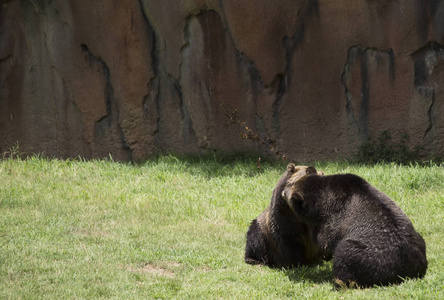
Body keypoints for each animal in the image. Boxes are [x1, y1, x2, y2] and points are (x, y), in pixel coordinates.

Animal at [280, 164, 426, 288]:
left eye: (288, 188)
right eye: (289, 183)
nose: (283, 191)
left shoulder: (335, 216)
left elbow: (325, 238)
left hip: (370, 257)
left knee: (346, 254)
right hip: (417, 241)